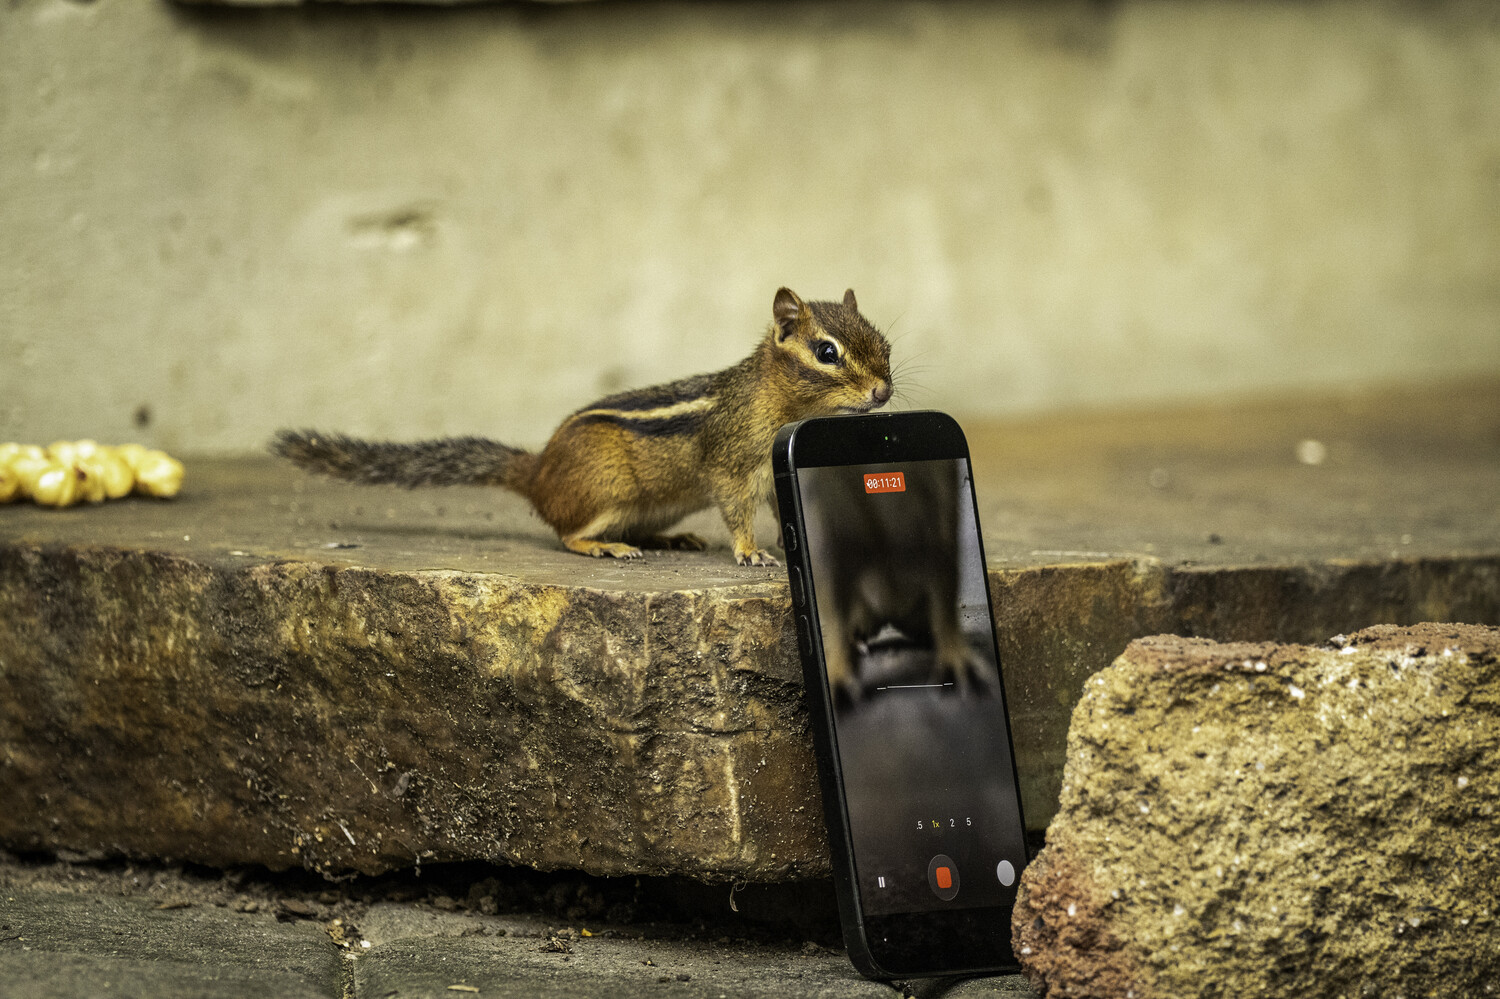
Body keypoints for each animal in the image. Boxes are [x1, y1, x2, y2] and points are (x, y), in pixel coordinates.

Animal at [272, 287, 893, 565]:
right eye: (827, 352)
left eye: (884, 346)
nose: (883, 391)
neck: (774, 398)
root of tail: (538, 471)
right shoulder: (731, 464)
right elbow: (738, 511)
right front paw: (749, 552)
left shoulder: (771, 469)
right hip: (605, 490)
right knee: (567, 533)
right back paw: (605, 547)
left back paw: (669, 539)